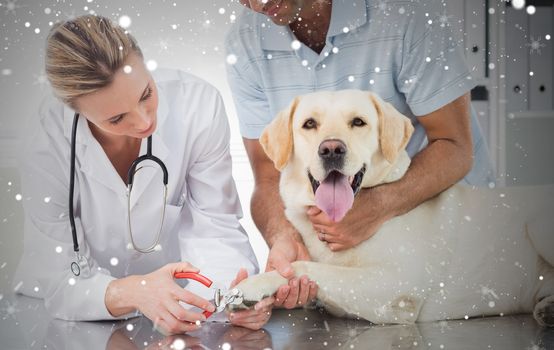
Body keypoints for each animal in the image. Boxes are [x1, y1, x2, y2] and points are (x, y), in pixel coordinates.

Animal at [233, 89, 552, 326]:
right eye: (309, 124)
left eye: (358, 122)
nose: (332, 149)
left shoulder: (396, 288)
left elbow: (304, 266)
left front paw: (250, 286)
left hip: (538, 225)